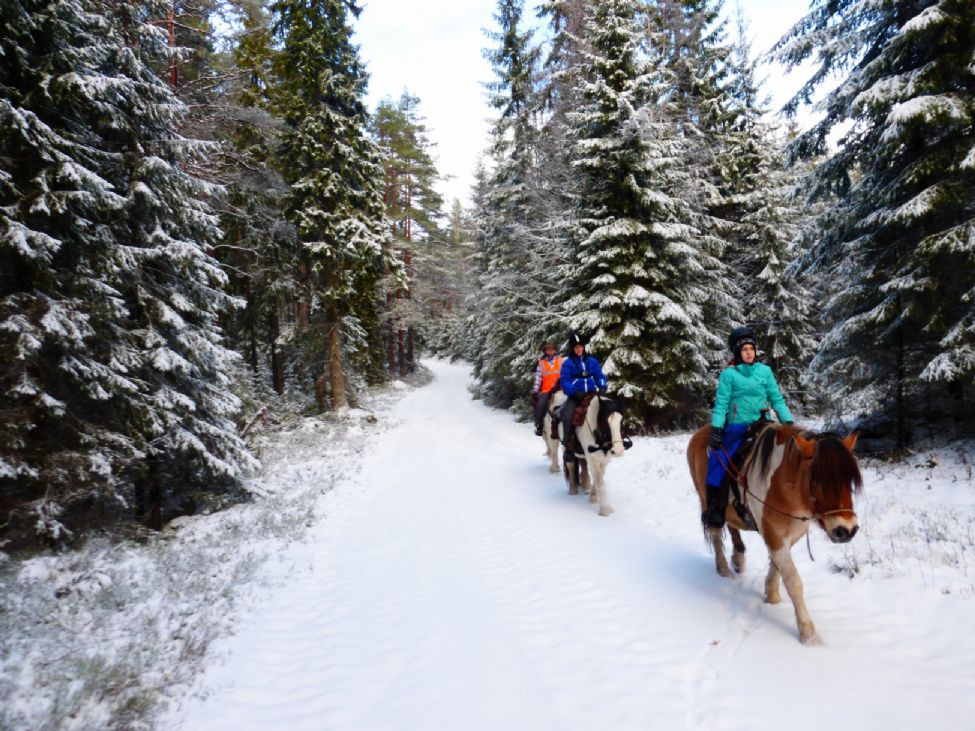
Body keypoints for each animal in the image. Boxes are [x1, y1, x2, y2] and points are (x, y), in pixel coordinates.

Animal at [688, 424, 860, 648]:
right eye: (817, 479)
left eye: (850, 479)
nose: (846, 530)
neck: (784, 484)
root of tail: (699, 432)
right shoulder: (774, 535)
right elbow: (793, 582)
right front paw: (808, 633)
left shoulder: (789, 535)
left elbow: (777, 566)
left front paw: (772, 596)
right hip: (706, 501)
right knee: (716, 535)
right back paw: (724, 569)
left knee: (733, 527)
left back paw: (738, 557)